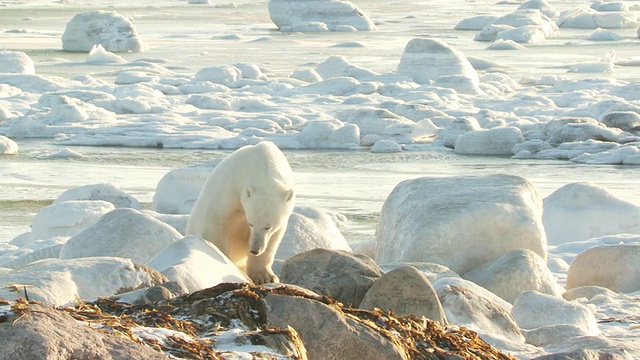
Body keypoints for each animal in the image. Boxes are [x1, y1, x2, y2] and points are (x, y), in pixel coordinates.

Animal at [185, 141, 296, 284]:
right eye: (251, 224)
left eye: (268, 227)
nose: (254, 250)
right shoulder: (231, 190)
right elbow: (218, 225)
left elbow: (273, 240)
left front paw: (265, 277)